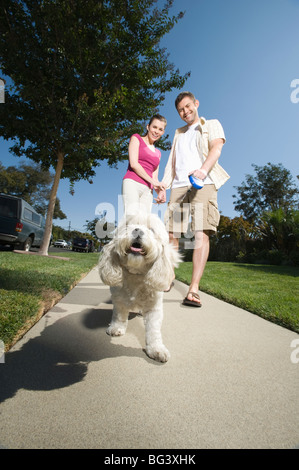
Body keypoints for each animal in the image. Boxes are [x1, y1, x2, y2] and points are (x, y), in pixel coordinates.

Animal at [99, 214, 182, 364]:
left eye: (151, 229)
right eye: (128, 226)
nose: (138, 230)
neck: (136, 274)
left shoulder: (154, 308)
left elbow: (153, 330)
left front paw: (156, 348)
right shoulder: (119, 300)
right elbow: (119, 315)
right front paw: (116, 327)